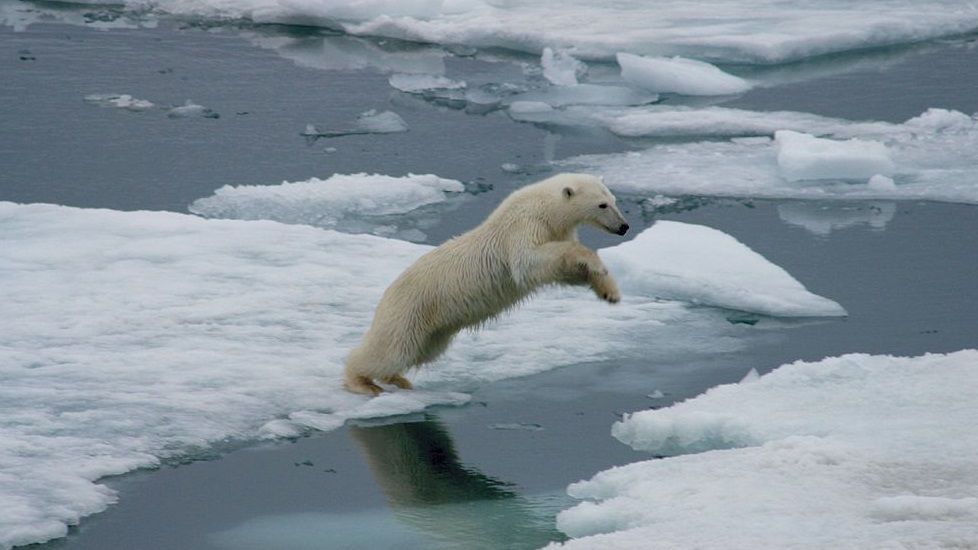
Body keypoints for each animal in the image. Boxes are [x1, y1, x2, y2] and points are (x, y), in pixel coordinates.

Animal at [346, 175, 628, 394]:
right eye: (602, 204)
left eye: (615, 200)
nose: (624, 226)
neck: (544, 208)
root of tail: (387, 294)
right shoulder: (523, 227)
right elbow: (529, 263)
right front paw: (594, 262)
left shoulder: (557, 230)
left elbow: (563, 271)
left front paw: (609, 290)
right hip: (411, 310)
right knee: (391, 350)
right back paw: (361, 382)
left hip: (434, 329)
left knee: (421, 351)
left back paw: (398, 379)